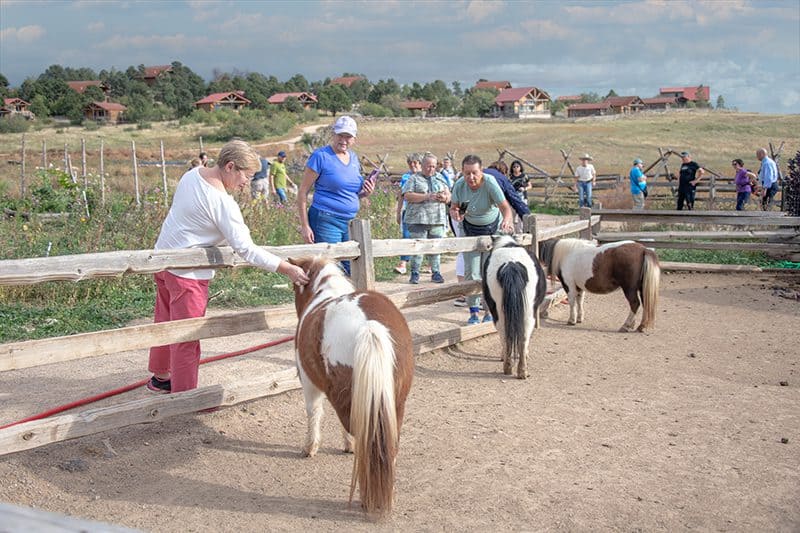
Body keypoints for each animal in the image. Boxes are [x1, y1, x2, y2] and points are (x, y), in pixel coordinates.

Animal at [290, 256, 412, 516]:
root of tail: (370, 326)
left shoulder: (308, 382)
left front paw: (310, 447)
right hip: (394, 404)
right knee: (388, 447)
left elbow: (314, 413)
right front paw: (348, 445)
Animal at [478, 234, 548, 378]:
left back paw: (513, 368)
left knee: (508, 335)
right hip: (527, 312)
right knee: (522, 336)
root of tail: (511, 264)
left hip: (500, 311)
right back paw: (518, 369)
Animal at [536, 239, 664, 330]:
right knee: (645, 304)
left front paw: (571, 320)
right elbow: (580, 301)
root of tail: (643, 250)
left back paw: (626, 325)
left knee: (635, 304)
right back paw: (640, 326)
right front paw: (579, 318)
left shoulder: (569, 285)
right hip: (642, 288)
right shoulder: (579, 287)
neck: (565, 254)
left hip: (629, 289)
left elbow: (572, 302)